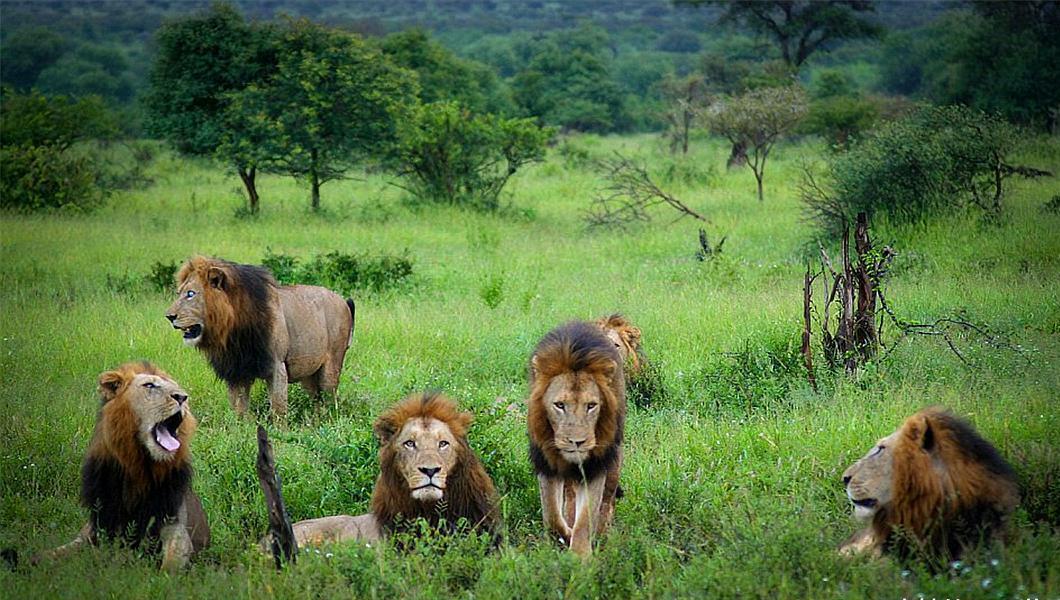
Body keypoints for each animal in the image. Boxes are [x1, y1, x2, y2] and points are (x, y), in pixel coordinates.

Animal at [32, 362, 209, 572]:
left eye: (178, 388)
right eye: (149, 385)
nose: (182, 397)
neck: (139, 468)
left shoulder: (175, 528)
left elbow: (168, 569)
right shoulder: (97, 527)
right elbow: (59, 552)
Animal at [166, 256, 356, 421]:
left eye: (191, 294)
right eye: (179, 293)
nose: (169, 316)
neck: (232, 331)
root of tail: (342, 300)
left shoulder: (277, 366)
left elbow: (278, 409)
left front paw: (281, 435)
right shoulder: (236, 371)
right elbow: (238, 409)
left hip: (331, 367)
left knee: (330, 402)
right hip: (310, 374)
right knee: (317, 401)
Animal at [525, 322, 623, 555]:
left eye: (591, 405)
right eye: (560, 405)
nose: (577, 442)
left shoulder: (595, 466)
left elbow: (586, 519)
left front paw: (580, 557)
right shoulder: (546, 463)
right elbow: (551, 516)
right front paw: (564, 536)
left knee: (608, 500)